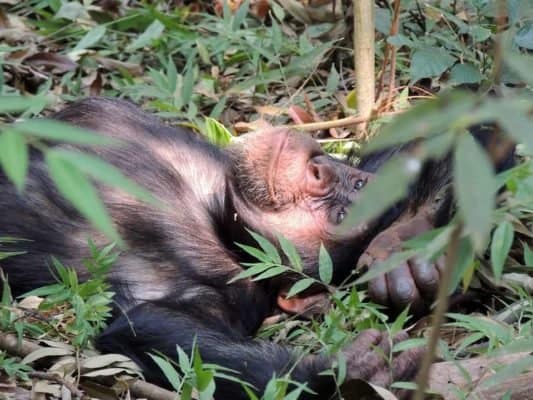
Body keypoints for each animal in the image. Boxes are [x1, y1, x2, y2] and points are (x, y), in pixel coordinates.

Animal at [0, 97, 512, 400]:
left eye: (339, 217)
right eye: (355, 185)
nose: (318, 169)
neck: (215, 207)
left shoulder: (230, 290)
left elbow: (153, 327)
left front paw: (351, 371)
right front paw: (407, 244)